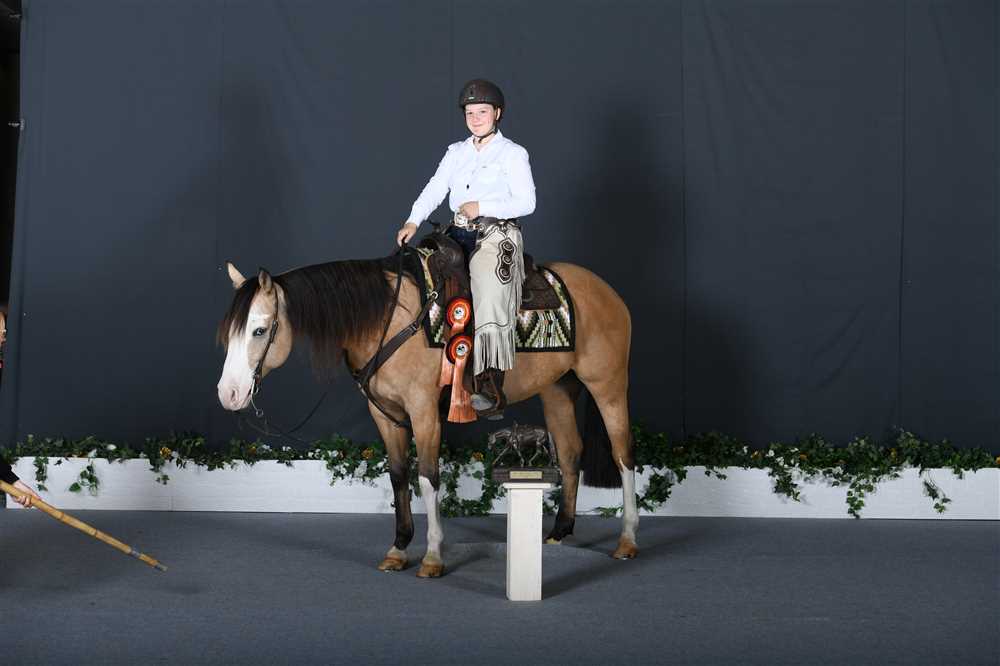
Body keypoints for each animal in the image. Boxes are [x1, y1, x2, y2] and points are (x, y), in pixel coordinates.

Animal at [216, 250, 637, 578]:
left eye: (259, 330)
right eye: (228, 334)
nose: (228, 394)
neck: (388, 323)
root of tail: (608, 292)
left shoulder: (423, 412)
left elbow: (428, 478)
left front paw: (433, 557)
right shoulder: (385, 414)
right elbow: (399, 476)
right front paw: (399, 549)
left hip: (608, 386)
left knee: (623, 456)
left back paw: (627, 540)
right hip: (558, 391)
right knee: (569, 453)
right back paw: (559, 532)